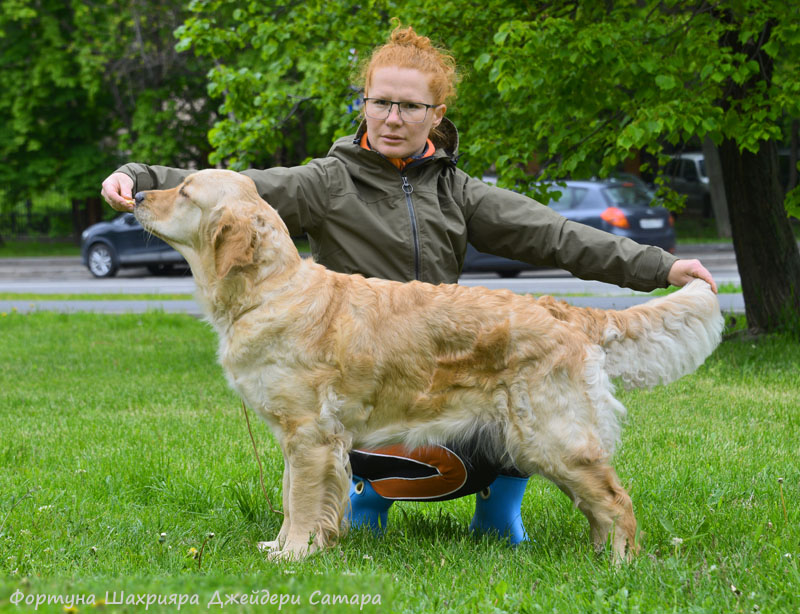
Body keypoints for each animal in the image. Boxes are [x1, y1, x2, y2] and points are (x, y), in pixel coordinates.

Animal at [133, 168, 724, 564]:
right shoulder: (298, 437)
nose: (135, 192)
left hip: (550, 436)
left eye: (184, 192)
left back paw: (619, 564)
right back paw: (599, 555)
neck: (268, 290)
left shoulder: (309, 434)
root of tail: (564, 309)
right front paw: (282, 544)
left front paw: (294, 553)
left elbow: (299, 501)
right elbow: (289, 496)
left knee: (616, 500)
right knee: (597, 503)